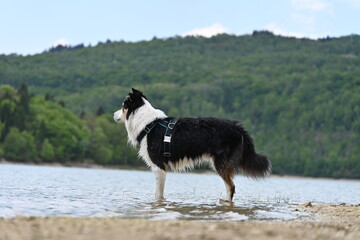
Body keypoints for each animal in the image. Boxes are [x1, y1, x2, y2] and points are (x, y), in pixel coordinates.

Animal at [113, 89, 270, 202]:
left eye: (123, 106)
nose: (113, 115)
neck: (149, 124)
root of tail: (238, 127)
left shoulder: (159, 166)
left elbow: (158, 194)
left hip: (220, 163)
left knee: (231, 186)